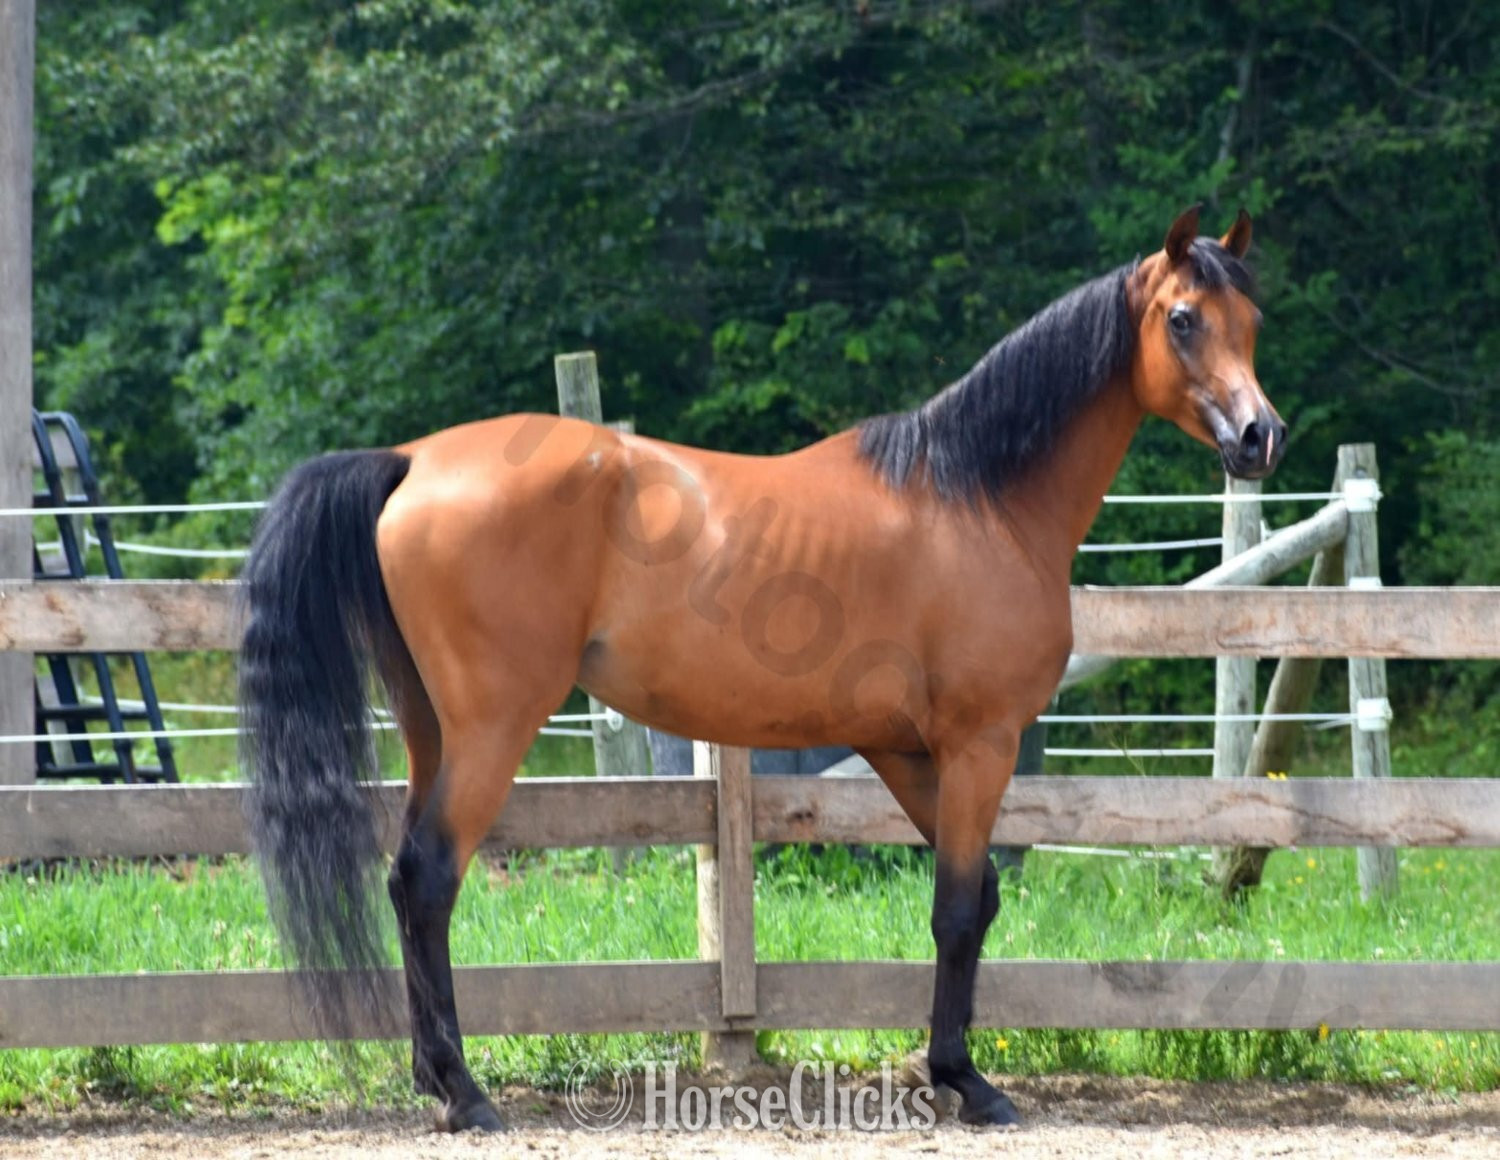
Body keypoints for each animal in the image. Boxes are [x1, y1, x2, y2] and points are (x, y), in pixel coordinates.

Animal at [239, 205, 1283, 1131]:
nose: (1259, 437)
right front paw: (966, 1082)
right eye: (1183, 319)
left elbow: (976, 898)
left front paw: (952, 1067)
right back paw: (465, 1093)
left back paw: (435, 1076)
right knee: (427, 878)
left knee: (404, 883)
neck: (974, 499)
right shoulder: (980, 743)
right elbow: (955, 909)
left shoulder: (907, 750)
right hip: (493, 729)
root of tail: (413, 459)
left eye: (1252, 322)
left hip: (432, 730)